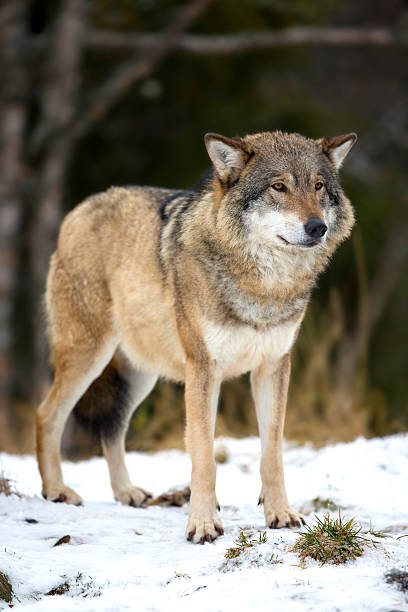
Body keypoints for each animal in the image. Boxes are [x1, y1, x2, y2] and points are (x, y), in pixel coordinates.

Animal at [37, 130, 356, 544]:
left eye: (318, 186)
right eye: (279, 187)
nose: (317, 227)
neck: (262, 286)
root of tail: (79, 209)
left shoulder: (273, 367)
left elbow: (272, 454)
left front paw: (280, 514)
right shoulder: (204, 369)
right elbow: (204, 457)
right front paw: (203, 524)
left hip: (140, 376)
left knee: (112, 429)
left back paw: (127, 492)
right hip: (88, 358)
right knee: (47, 415)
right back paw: (56, 490)